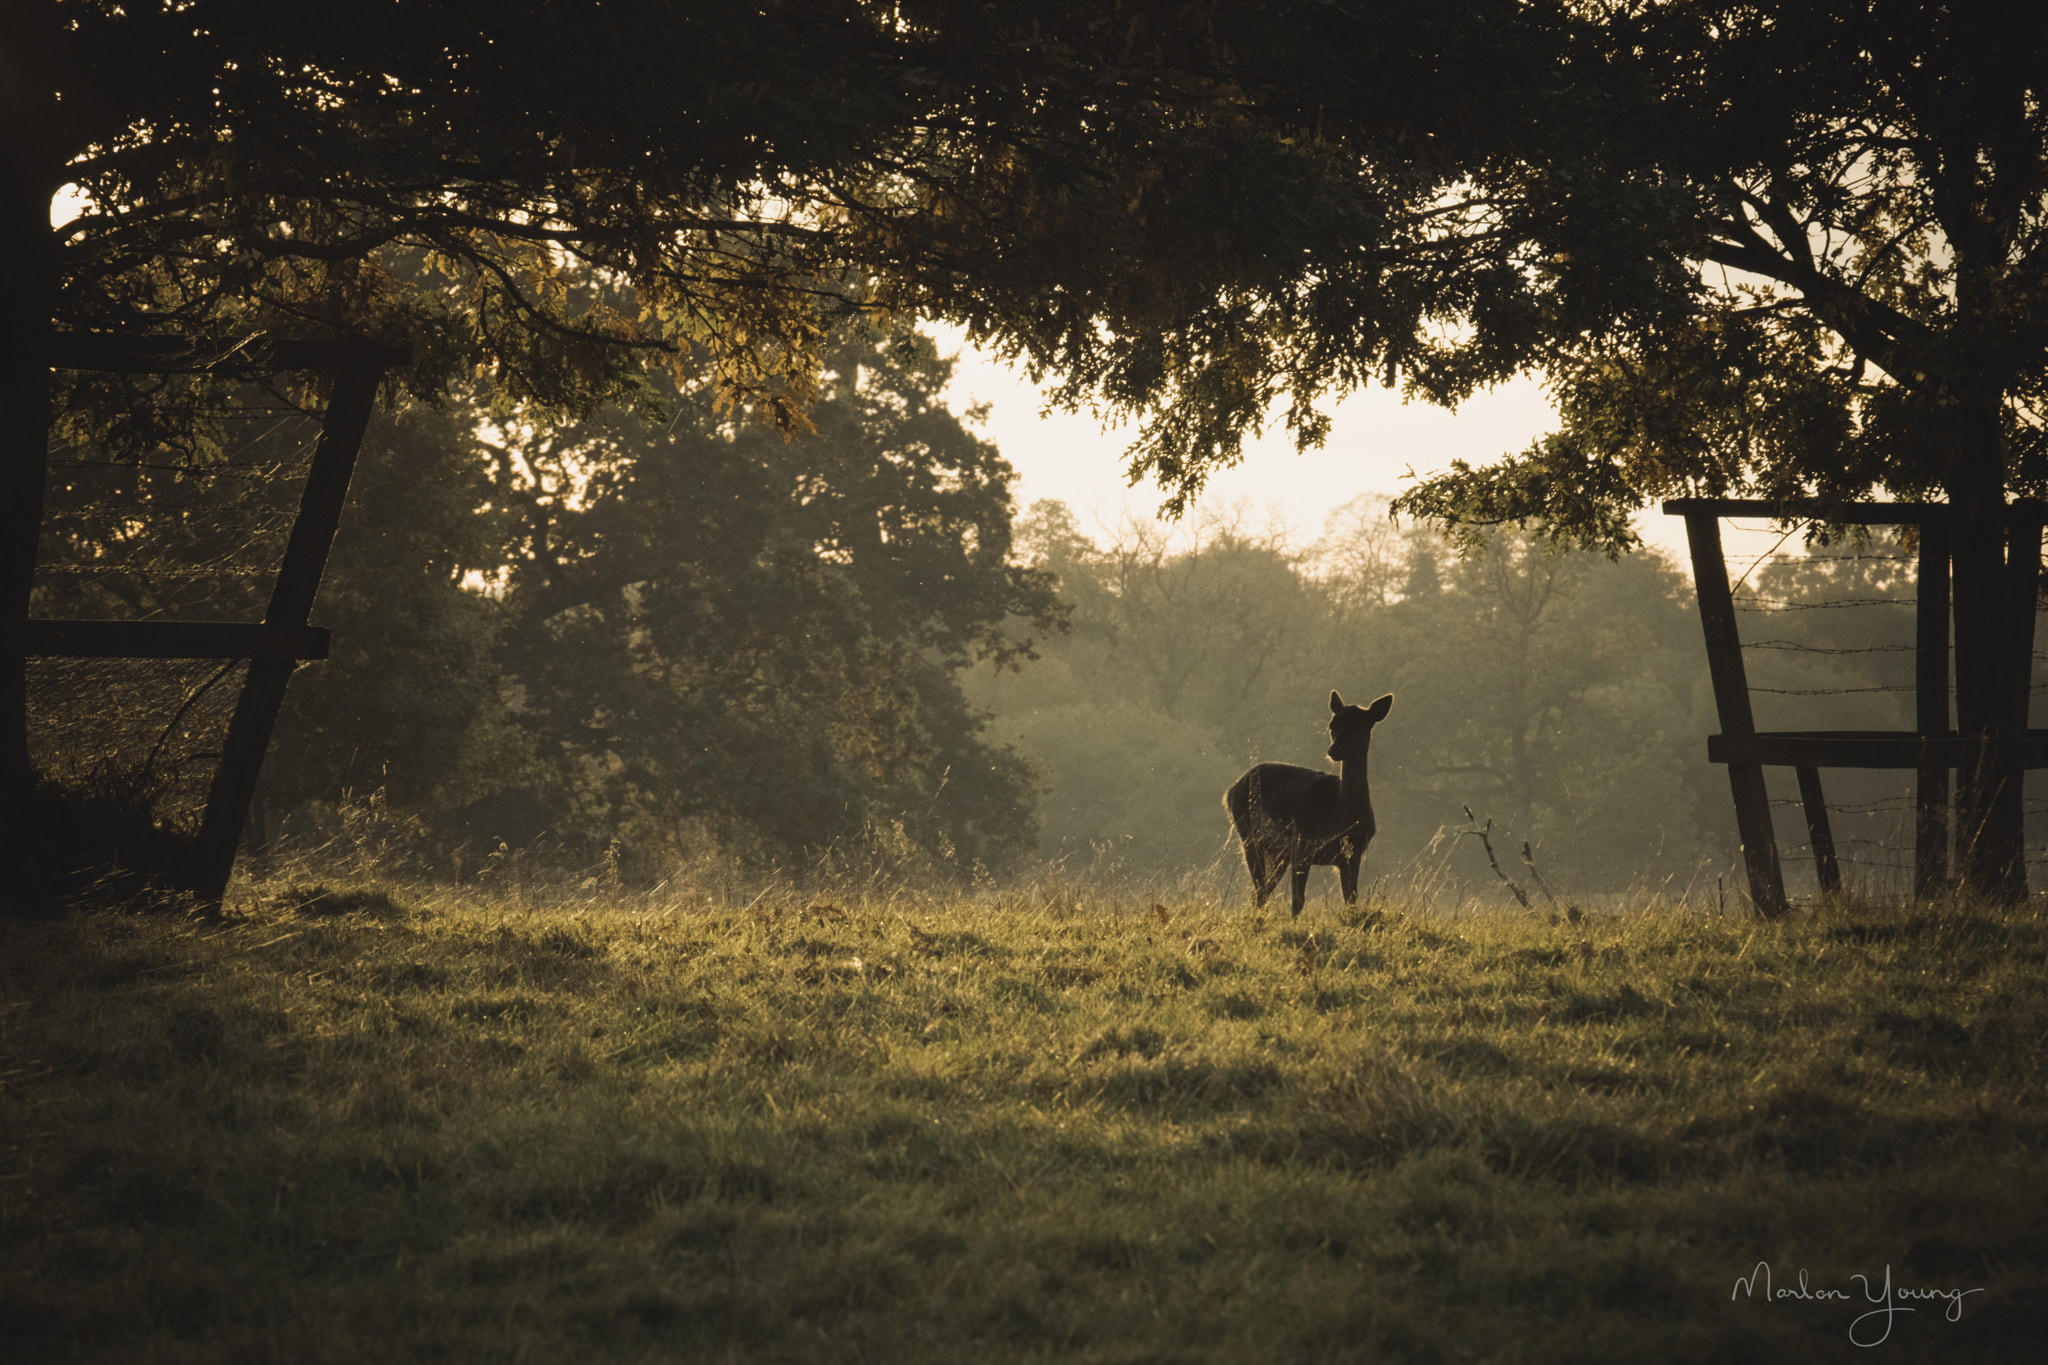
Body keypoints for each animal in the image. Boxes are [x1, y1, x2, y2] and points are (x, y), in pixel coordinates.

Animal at [1228, 695, 1392, 916]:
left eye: (1360, 725)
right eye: (1332, 725)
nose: (1333, 750)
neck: (1340, 814)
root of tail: (1229, 792)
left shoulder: (1353, 855)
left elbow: (1351, 902)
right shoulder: (1302, 845)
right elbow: (1298, 901)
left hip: (1277, 851)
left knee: (1261, 891)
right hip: (1249, 836)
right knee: (1261, 890)